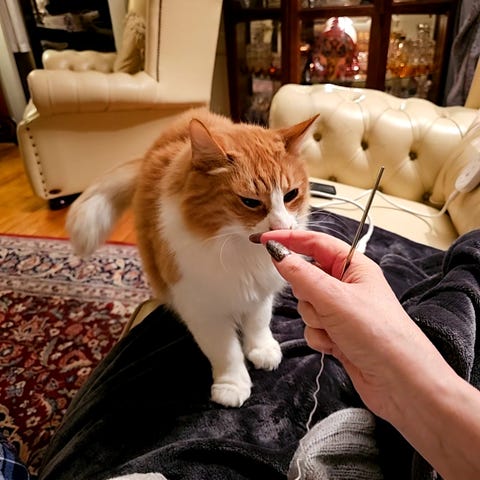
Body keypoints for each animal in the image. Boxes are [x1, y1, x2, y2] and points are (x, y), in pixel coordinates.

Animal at [66, 107, 318, 407]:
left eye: (291, 195)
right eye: (250, 202)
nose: (282, 227)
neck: (241, 254)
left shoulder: (260, 294)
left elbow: (259, 324)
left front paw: (263, 350)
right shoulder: (202, 309)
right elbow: (226, 351)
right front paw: (232, 386)